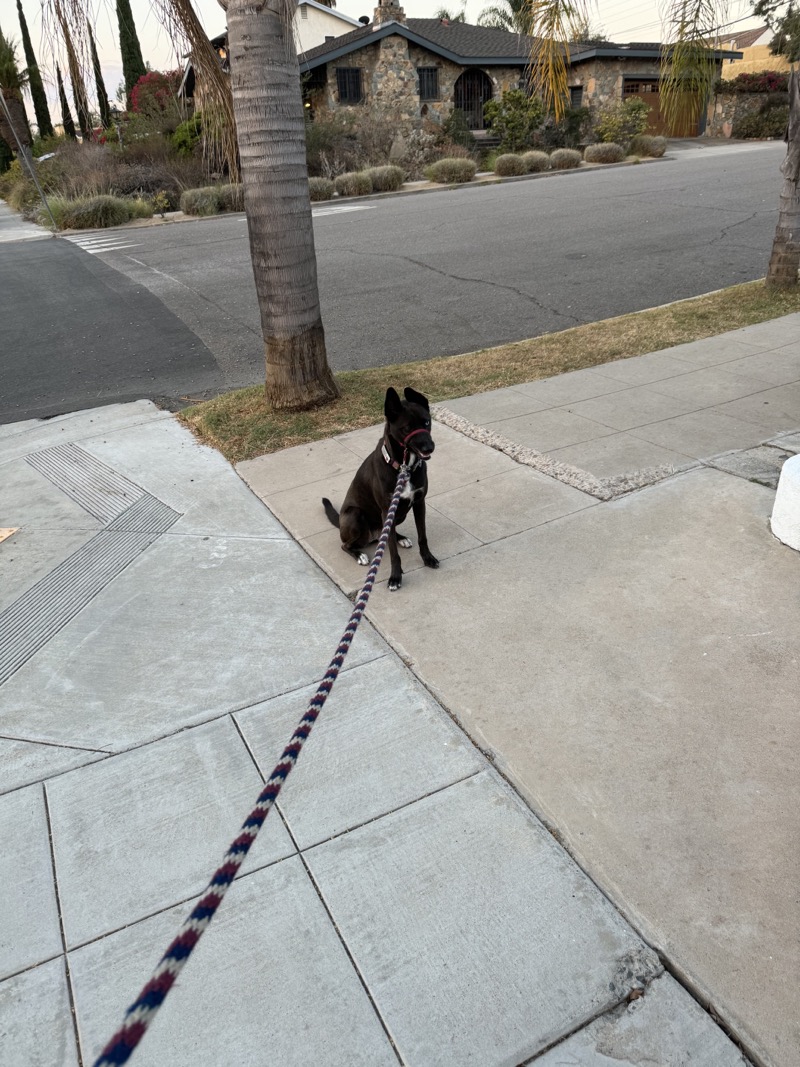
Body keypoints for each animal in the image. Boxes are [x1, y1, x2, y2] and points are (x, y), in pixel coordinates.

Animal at [322, 386, 441, 593]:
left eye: (427, 422)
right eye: (406, 428)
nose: (429, 447)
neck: (404, 467)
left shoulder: (419, 503)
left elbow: (423, 536)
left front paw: (428, 558)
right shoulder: (387, 510)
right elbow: (393, 553)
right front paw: (395, 577)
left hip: (398, 515)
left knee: (385, 537)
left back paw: (401, 538)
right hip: (355, 515)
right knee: (346, 545)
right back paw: (360, 555)